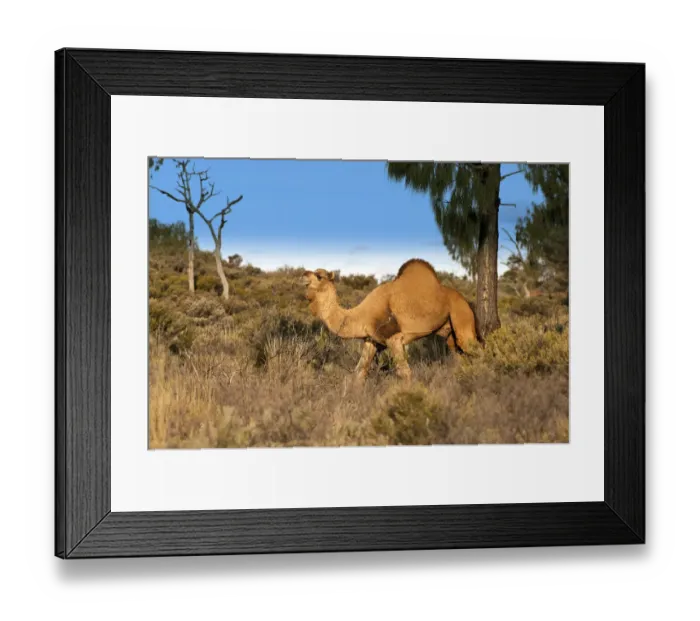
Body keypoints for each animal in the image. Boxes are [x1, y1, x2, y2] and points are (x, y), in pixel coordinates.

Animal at [301, 258, 479, 382]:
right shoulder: (372, 341)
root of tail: (465, 301)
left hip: (461, 316)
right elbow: (359, 372)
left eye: (319, 276)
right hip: (450, 333)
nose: (303, 275)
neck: (361, 315)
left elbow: (404, 372)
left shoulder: (394, 338)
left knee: (475, 350)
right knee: (461, 358)